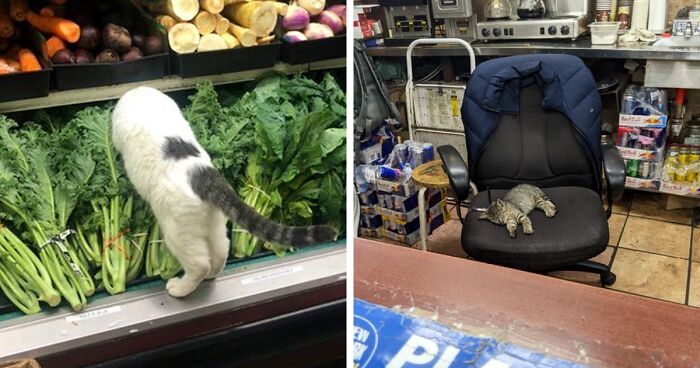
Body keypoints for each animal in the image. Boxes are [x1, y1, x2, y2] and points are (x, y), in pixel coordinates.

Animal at [112, 85, 340, 298]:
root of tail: (206, 176)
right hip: (213, 222)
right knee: (222, 250)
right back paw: (212, 274)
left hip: (177, 231)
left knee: (199, 263)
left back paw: (180, 288)